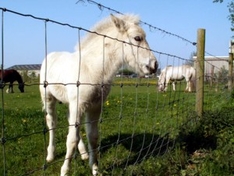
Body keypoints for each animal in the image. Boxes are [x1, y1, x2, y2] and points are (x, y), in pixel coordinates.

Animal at [39, 14, 157, 176]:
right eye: (137, 38)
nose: (154, 65)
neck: (92, 68)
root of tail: (50, 55)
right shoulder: (79, 105)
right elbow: (71, 139)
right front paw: (64, 171)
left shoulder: (94, 106)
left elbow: (93, 137)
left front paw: (95, 168)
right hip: (49, 98)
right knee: (52, 122)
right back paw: (50, 155)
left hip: (71, 103)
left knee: (70, 122)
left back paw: (83, 153)